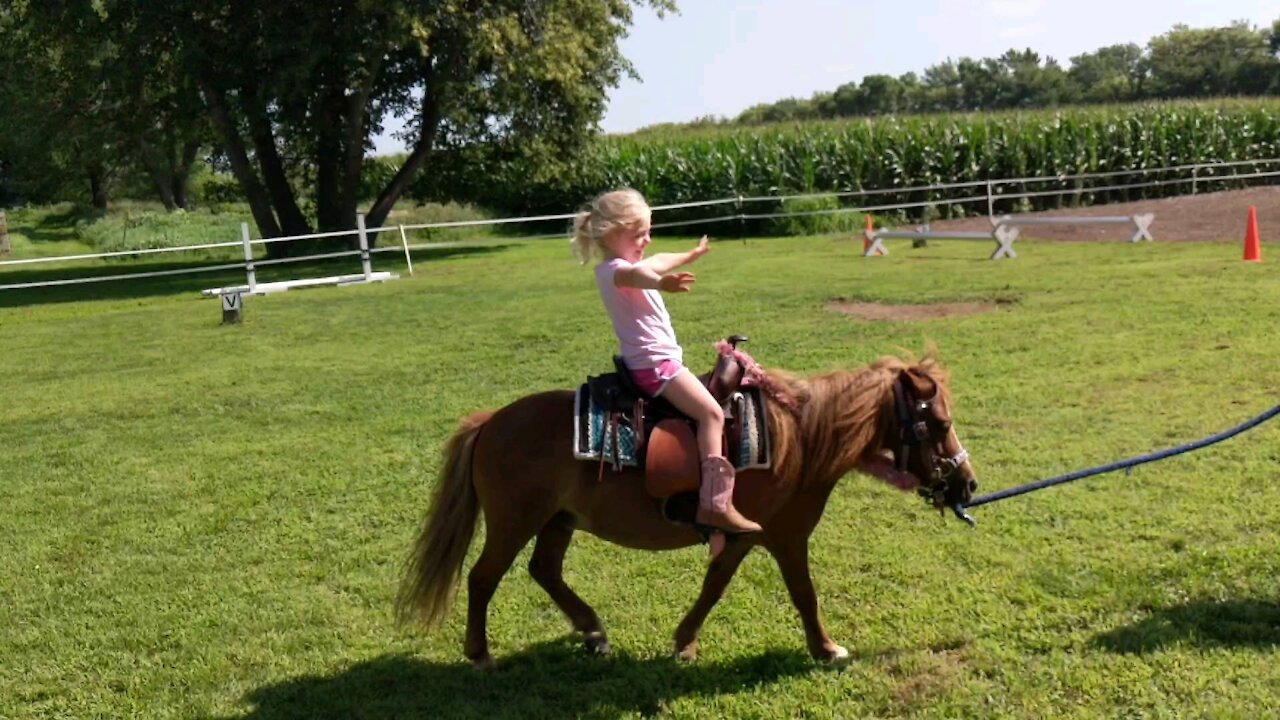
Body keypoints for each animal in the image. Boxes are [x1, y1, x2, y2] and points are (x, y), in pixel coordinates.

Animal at [394, 353, 972, 666]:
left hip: (557, 522)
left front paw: (684, 642)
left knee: (544, 571)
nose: (967, 483)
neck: (800, 439)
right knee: (482, 578)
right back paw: (480, 654)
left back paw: (594, 632)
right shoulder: (785, 537)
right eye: (941, 424)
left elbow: (713, 588)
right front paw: (826, 649)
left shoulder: (742, 537)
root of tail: (491, 422)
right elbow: (804, 595)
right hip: (514, 523)